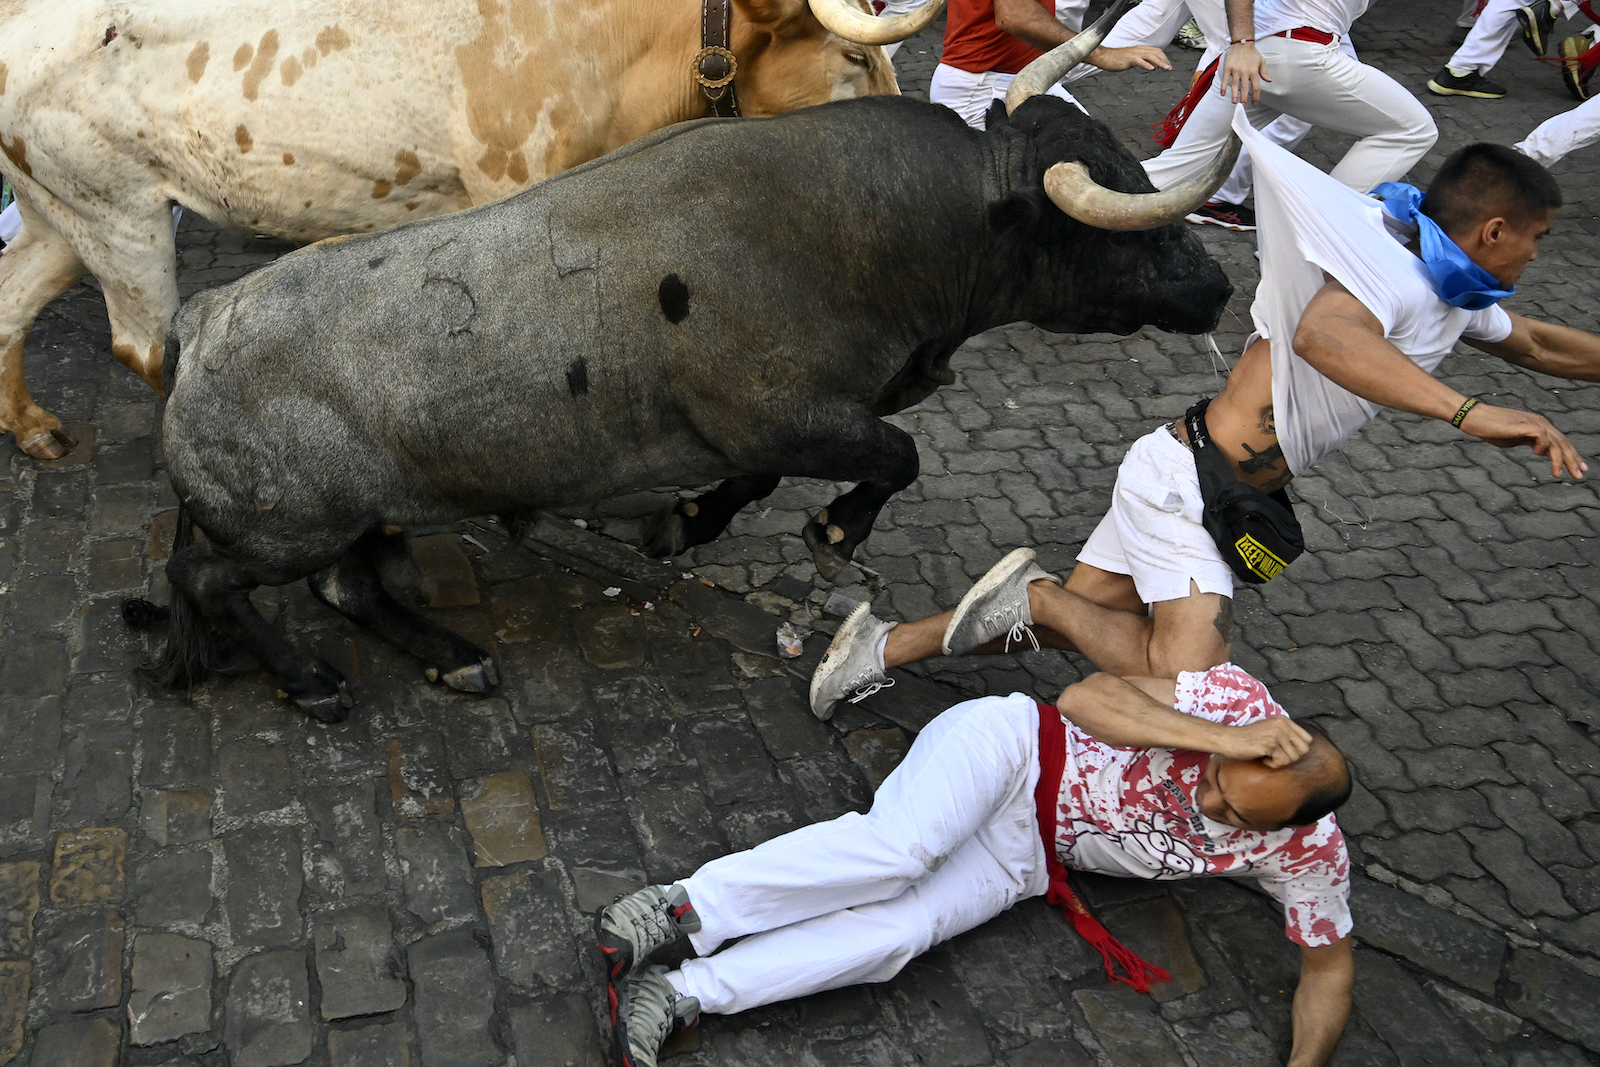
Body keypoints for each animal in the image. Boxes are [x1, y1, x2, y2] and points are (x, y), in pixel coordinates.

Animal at [140, 95, 1235, 723]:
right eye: (1119, 224)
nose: (1221, 287)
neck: (874, 229)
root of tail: (200, 320)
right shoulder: (790, 413)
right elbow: (895, 457)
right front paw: (831, 530)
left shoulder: (761, 426)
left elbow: (750, 481)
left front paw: (685, 521)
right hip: (289, 528)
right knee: (209, 577)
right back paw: (310, 680)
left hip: (367, 515)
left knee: (350, 588)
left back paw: (453, 657)